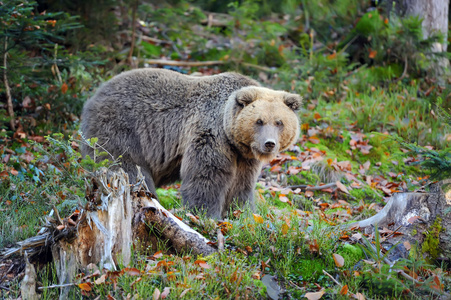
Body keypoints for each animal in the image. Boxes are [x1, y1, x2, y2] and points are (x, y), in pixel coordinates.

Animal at [81, 68, 302, 218]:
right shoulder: (210, 134)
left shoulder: (243, 157)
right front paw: (205, 214)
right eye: (259, 121)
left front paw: (243, 214)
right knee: (125, 166)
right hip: (121, 129)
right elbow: (207, 176)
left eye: (279, 122)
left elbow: (241, 184)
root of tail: (95, 95)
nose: (269, 143)